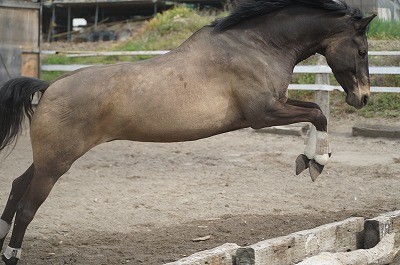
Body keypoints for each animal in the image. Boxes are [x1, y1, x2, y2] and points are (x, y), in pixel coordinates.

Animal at [0, 0, 376, 262]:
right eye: (362, 50)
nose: (362, 98)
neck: (258, 45)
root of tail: (49, 86)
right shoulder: (263, 113)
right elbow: (318, 115)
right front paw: (316, 162)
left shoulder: (276, 106)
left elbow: (315, 112)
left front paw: (310, 159)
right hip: (55, 164)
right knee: (27, 207)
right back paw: (11, 255)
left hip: (49, 159)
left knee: (17, 187)